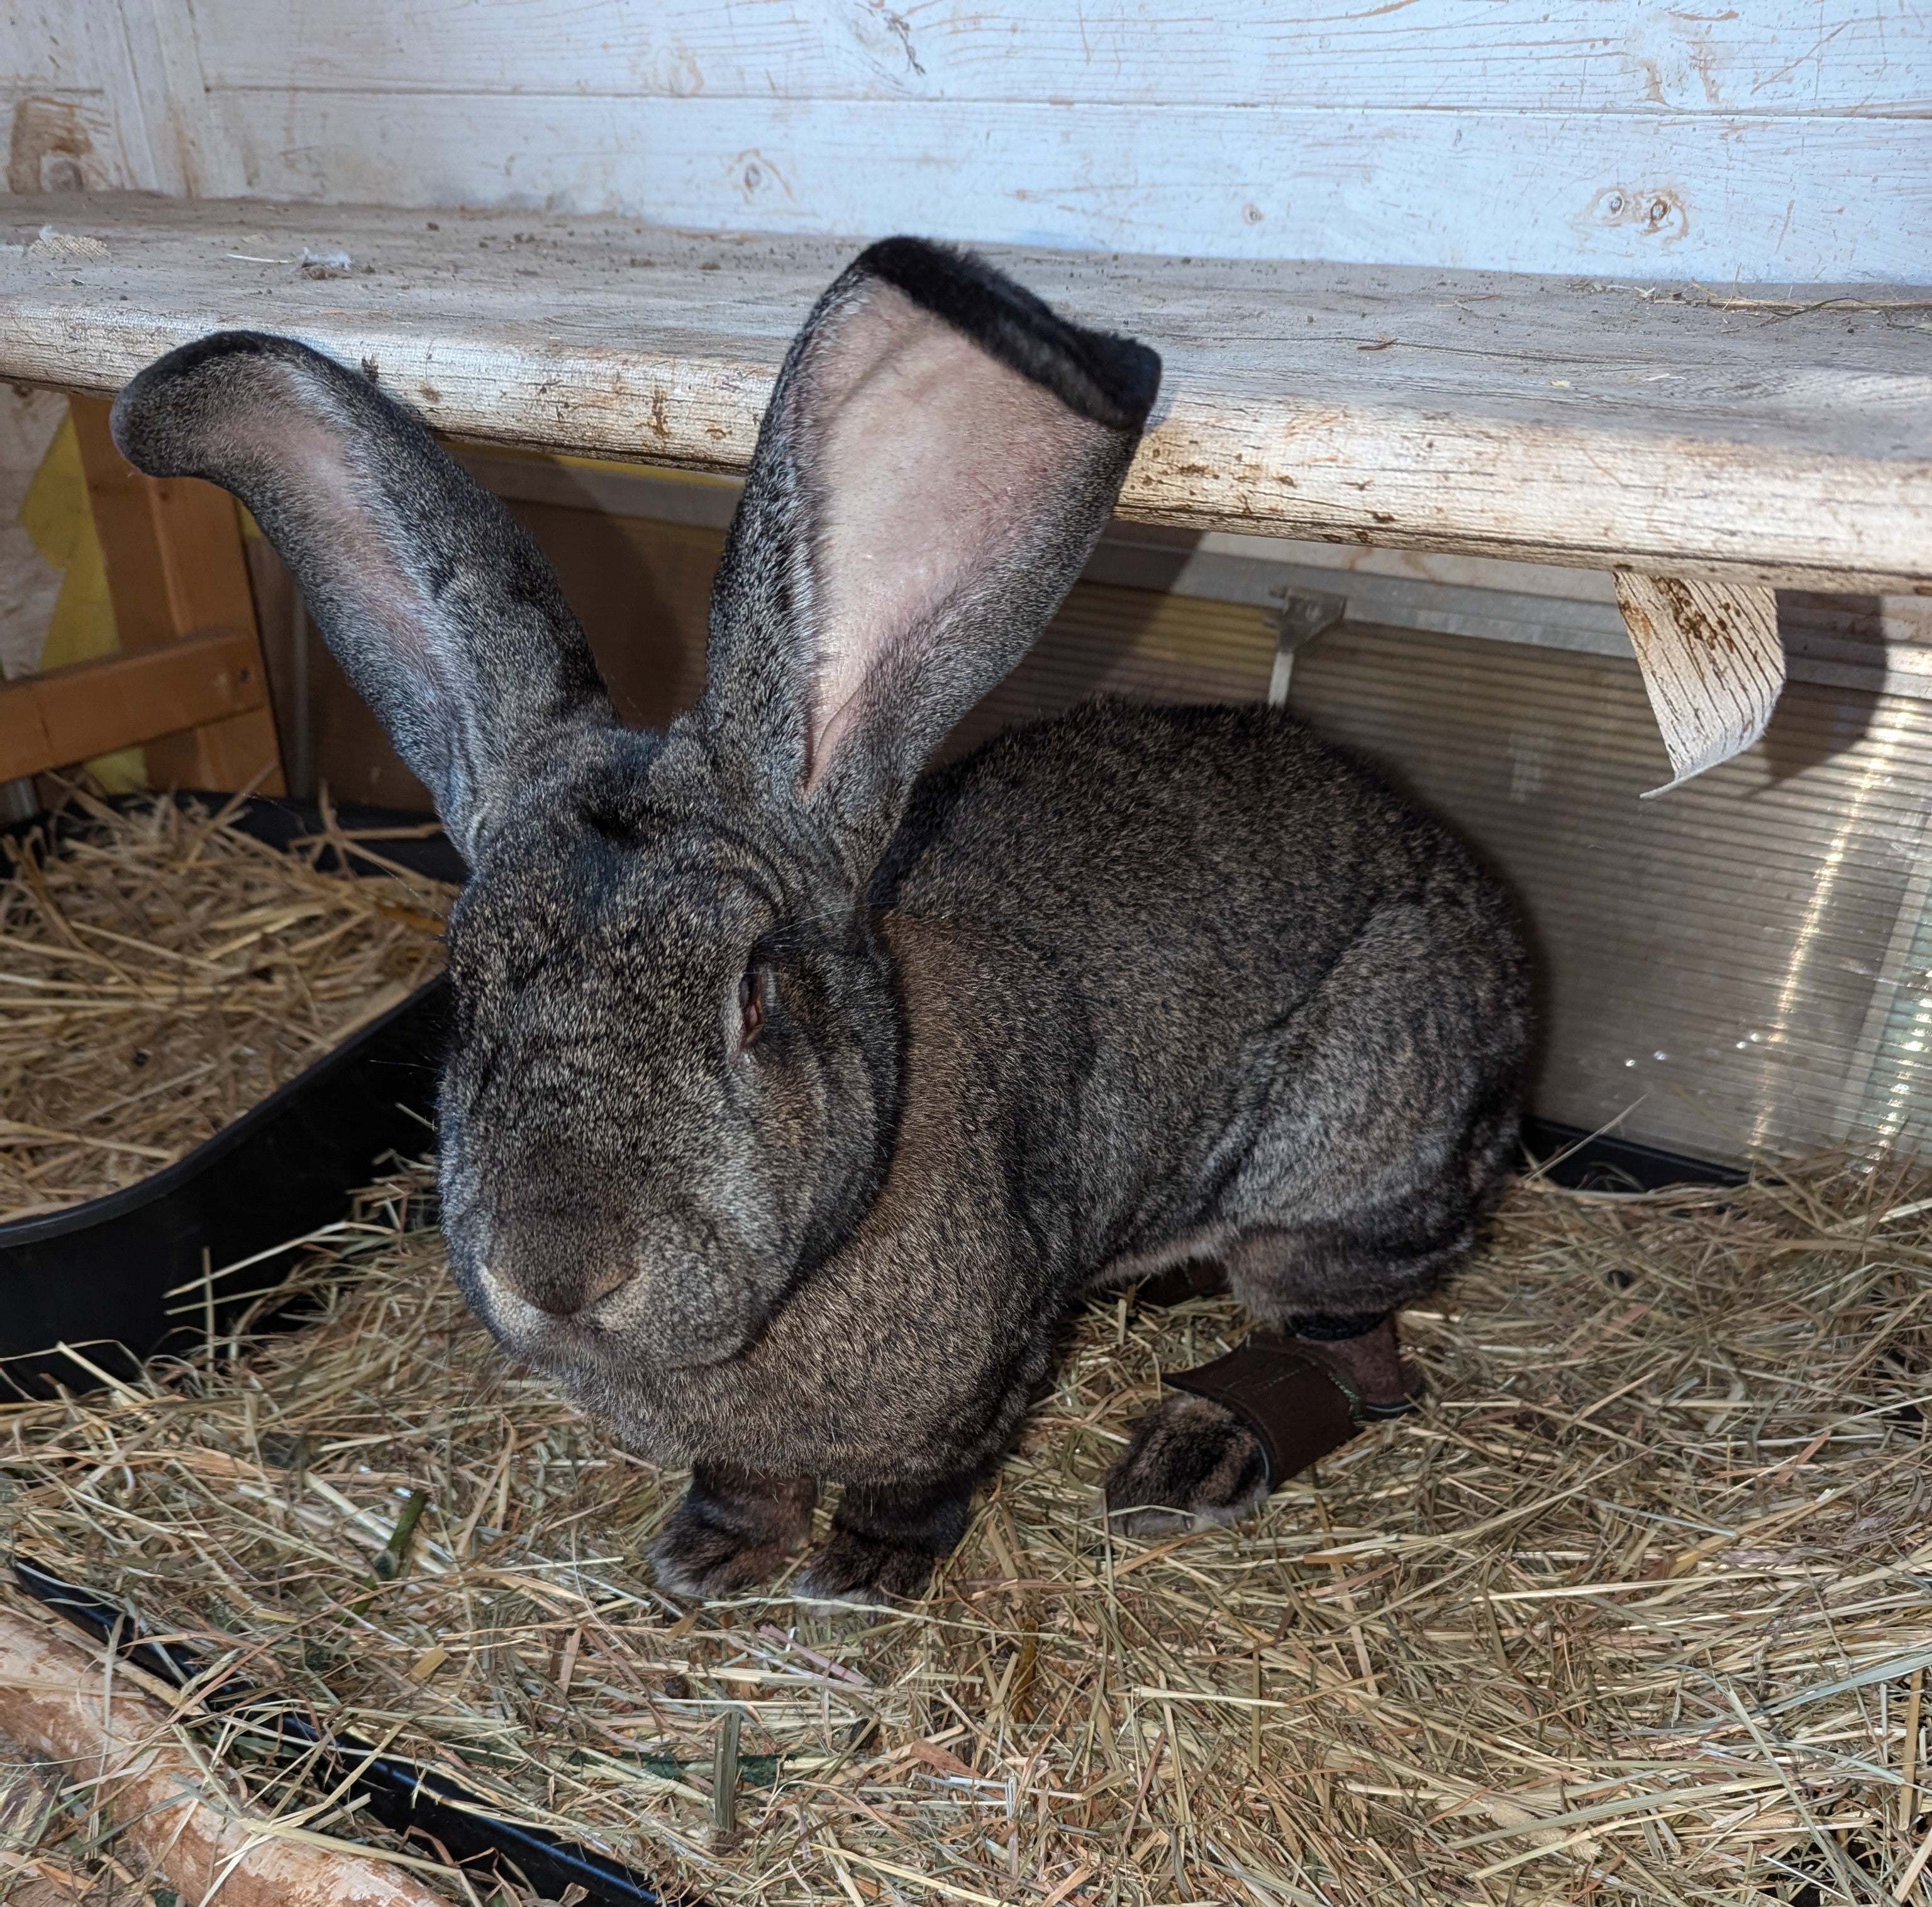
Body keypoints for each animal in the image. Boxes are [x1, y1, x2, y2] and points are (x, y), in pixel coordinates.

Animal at [110, 236, 1529, 1604]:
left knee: (1365, 1358)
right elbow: (749, 1478)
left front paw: (863, 1573)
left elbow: (922, 1477)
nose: (557, 1271)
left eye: (753, 994)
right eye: (463, 989)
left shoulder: (991, 1365)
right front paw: (706, 1560)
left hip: (1340, 1181)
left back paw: (1197, 1454)